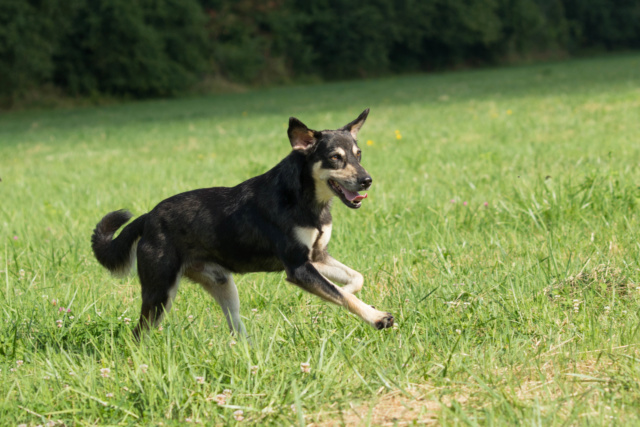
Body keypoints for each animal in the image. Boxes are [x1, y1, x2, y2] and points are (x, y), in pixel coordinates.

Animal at [89, 109, 390, 338]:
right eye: (335, 158)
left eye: (358, 154)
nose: (367, 180)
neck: (304, 198)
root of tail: (148, 217)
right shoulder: (298, 267)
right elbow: (342, 294)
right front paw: (376, 317)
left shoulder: (316, 257)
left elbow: (354, 280)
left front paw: (348, 292)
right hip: (159, 292)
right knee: (139, 333)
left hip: (222, 284)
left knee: (235, 327)